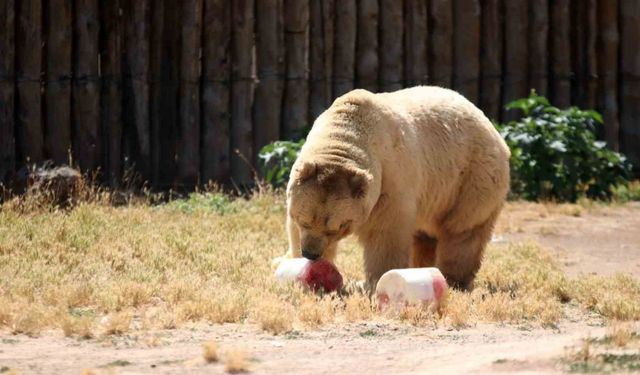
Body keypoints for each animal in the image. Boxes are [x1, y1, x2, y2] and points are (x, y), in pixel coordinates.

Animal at [274, 86, 510, 290]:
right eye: (303, 220)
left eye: (337, 227)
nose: (311, 254)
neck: (346, 132)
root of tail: (494, 129)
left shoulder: (391, 178)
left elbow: (386, 232)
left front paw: (376, 280)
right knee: (425, 236)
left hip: (470, 179)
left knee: (463, 231)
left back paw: (453, 278)